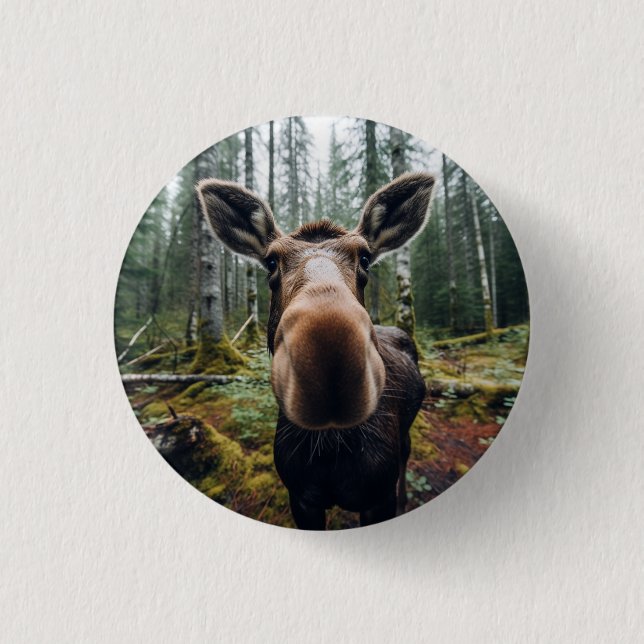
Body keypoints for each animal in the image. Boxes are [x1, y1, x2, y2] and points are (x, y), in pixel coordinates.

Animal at [197, 172, 435, 529]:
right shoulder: (301, 498)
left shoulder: (378, 497)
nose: (327, 349)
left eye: (365, 258)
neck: (331, 450)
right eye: (271, 261)